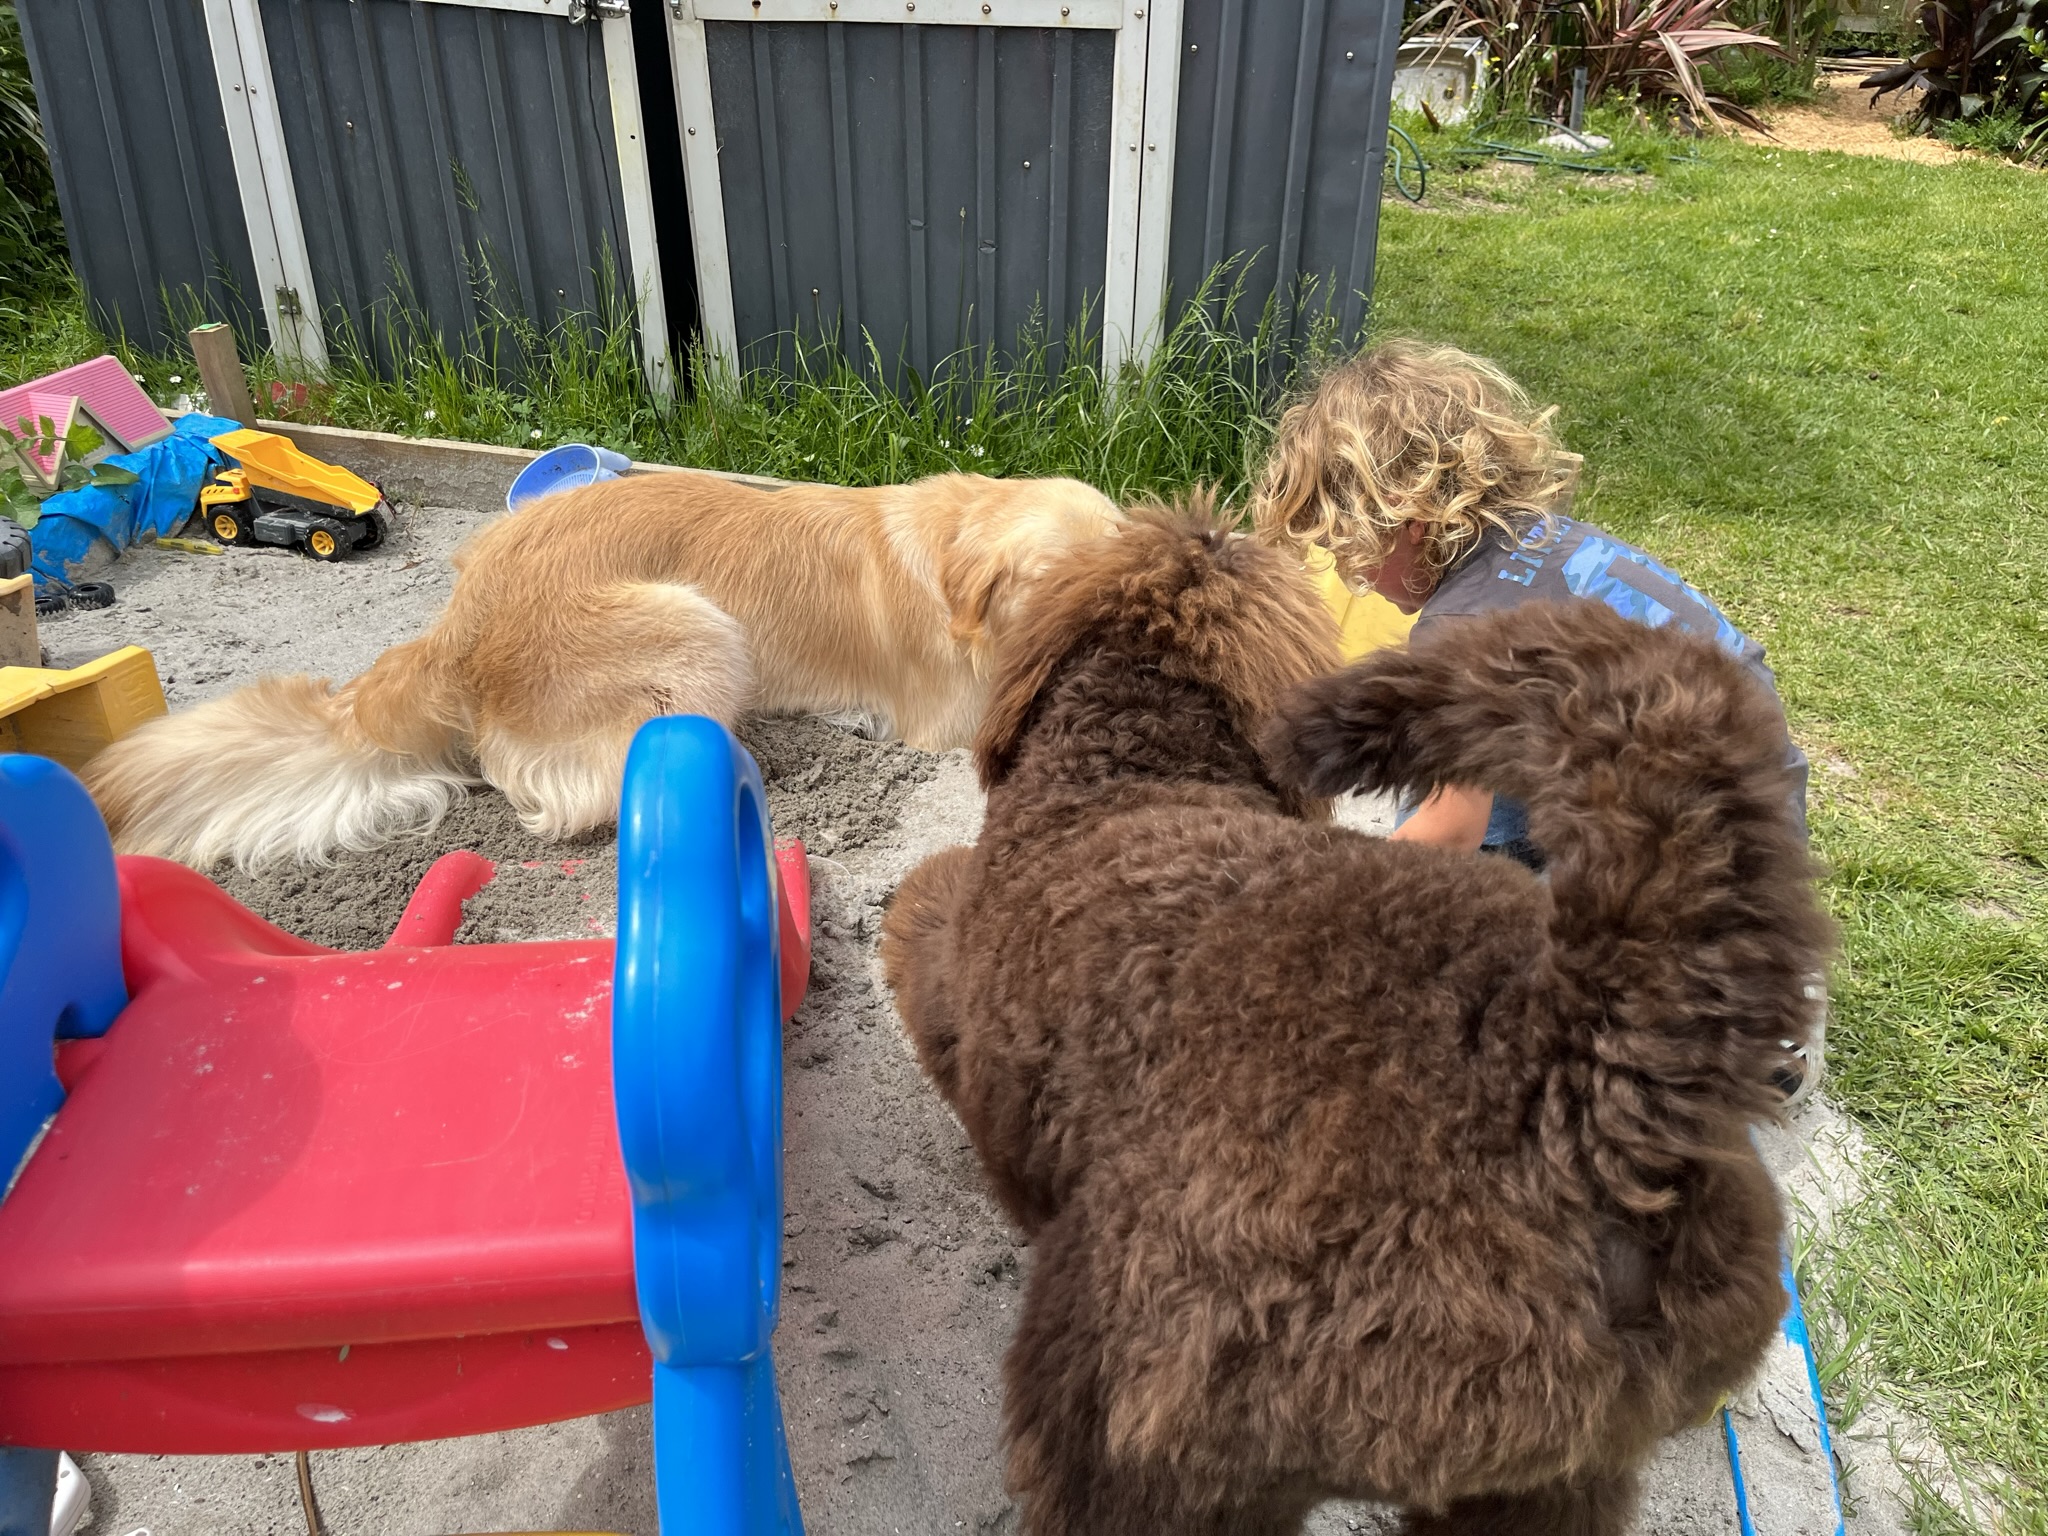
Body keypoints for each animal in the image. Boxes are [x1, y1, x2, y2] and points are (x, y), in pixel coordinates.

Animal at [83, 468, 1122, 868]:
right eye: (1062, 587)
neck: (953, 556)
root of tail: (449, 634)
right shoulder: (957, 713)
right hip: (697, 629)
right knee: (572, 794)